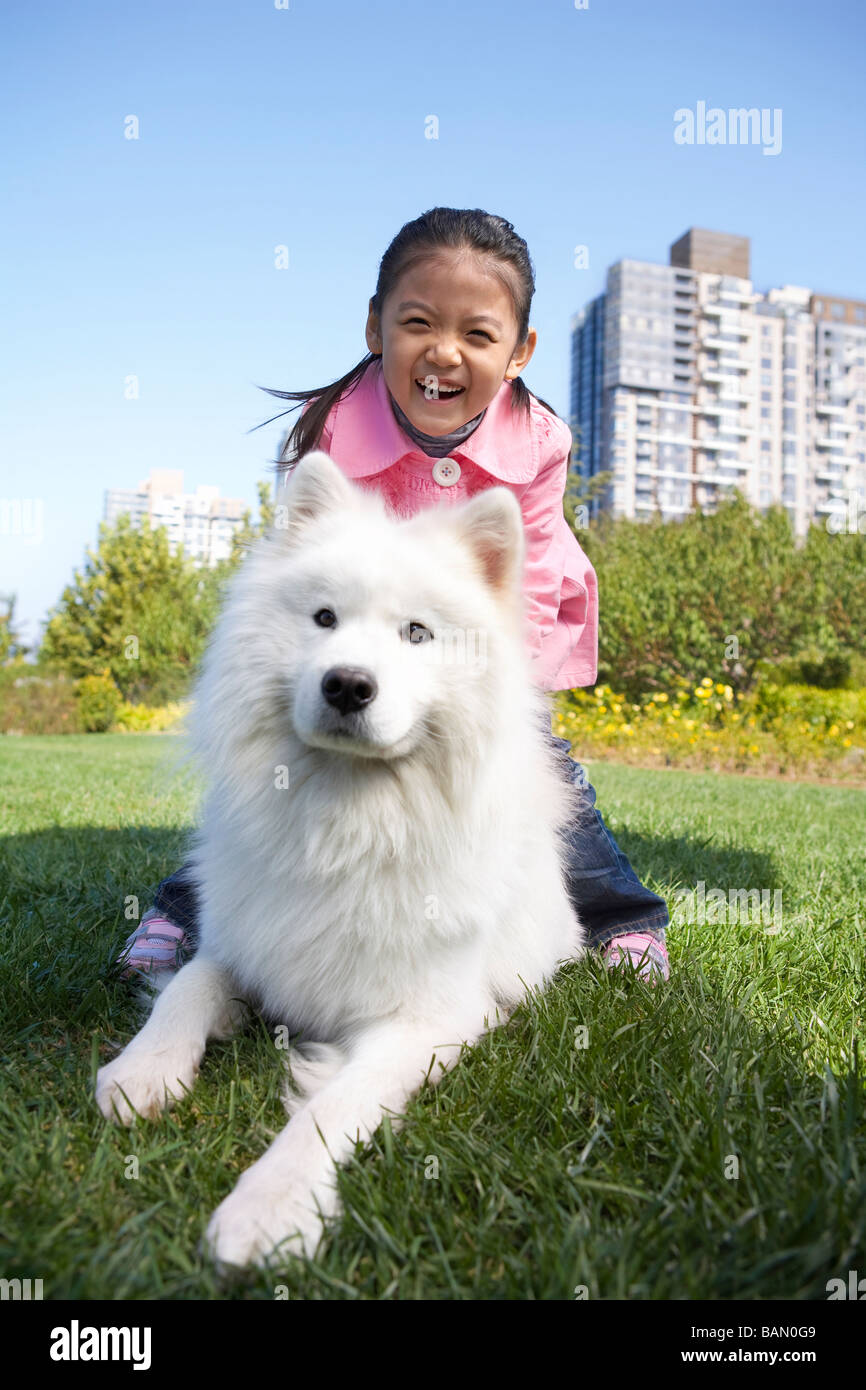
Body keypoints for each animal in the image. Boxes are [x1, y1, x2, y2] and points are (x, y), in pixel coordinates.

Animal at [96, 450, 583, 1267]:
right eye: (323, 618)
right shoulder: (243, 946)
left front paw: (267, 1209)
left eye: (417, 633)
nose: (348, 684)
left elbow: (328, 1111)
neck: (347, 822)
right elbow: (184, 991)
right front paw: (143, 1070)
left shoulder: (426, 1021)